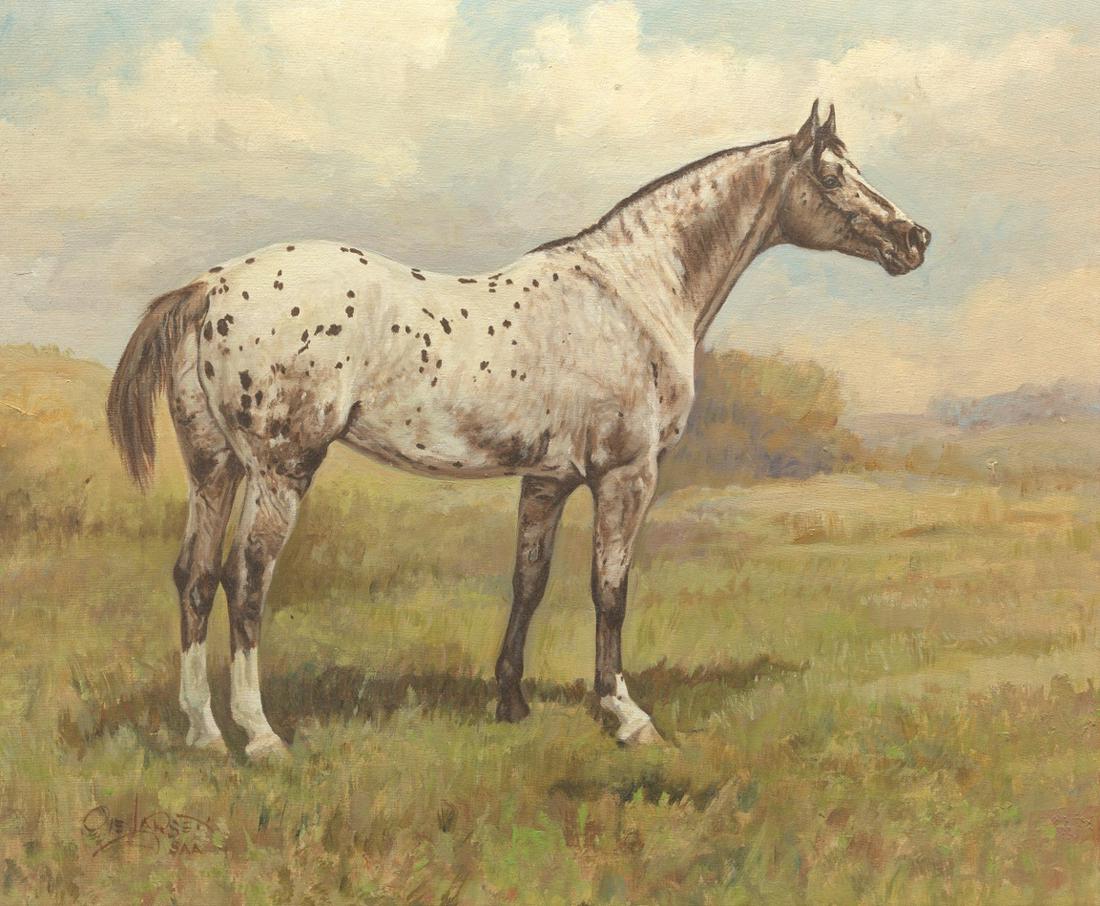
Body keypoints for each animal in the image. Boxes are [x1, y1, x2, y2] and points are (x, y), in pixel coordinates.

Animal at [107, 101, 929, 758]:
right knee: (245, 583)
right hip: (280, 470)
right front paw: (625, 715)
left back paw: (203, 734)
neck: (631, 291)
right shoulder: (626, 475)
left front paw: (510, 701)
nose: (914, 238)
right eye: (832, 176)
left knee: (194, 579)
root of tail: (209, 285)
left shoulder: (548, 478)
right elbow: (609, 591)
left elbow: (528, 582)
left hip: (216, 468)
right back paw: (260, 736)